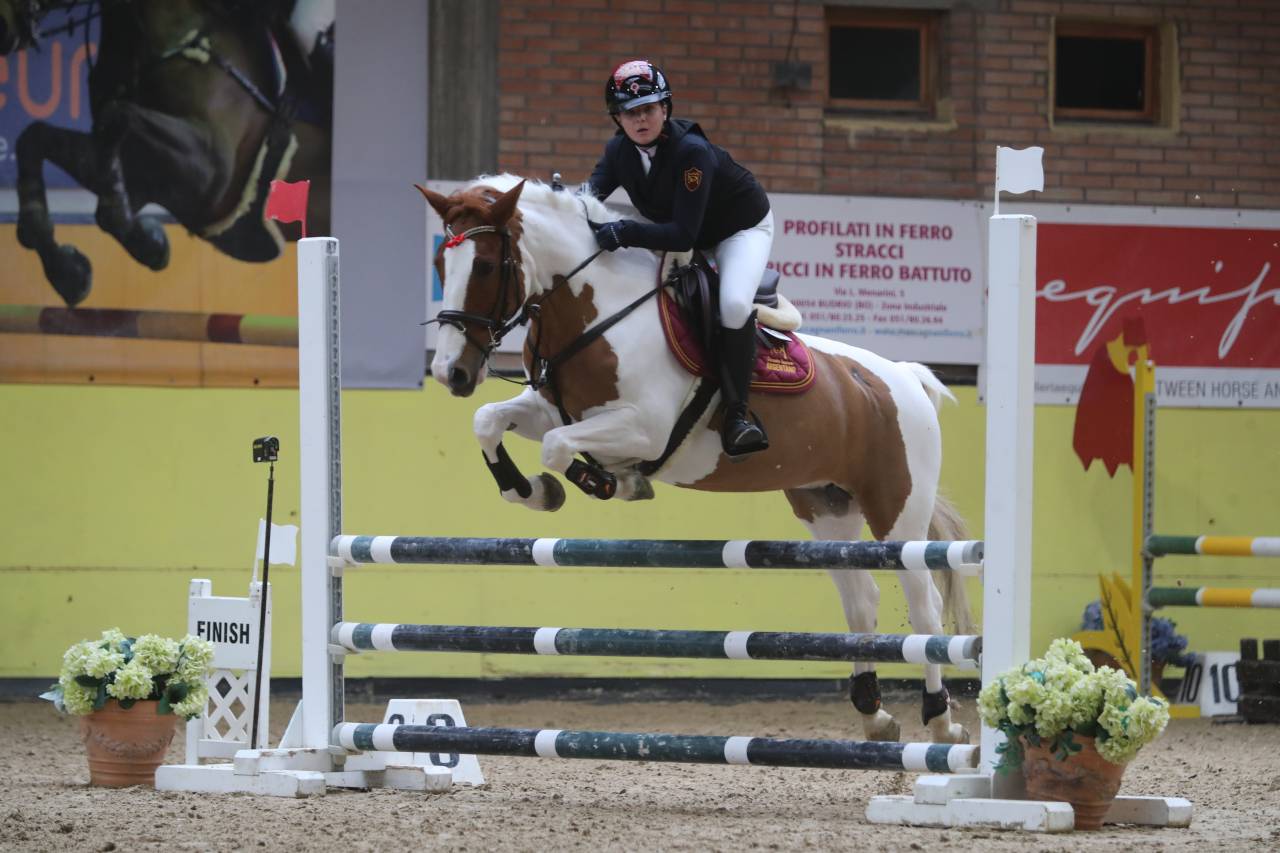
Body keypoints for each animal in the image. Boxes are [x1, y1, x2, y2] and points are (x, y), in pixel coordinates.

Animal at [0, 0, 332, 306]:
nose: (7, 25)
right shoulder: (146, 177)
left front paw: (146, 241)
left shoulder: (210, 174)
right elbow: (35, 138)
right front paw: (67, 270)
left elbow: (116, 115)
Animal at [415, 174, 976, 745]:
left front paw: (613, 481)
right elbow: (489, 421)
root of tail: (904, 376)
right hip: (826, 505)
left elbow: (558, 447)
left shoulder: (644, 427)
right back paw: (875, 715)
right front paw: (537, 491)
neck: (595, 312)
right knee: (861, 598)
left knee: (924, 603)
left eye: (486, 266)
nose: (450, 373)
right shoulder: (550, 409)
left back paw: (941, 721)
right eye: (440, 263)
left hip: (896, 509)